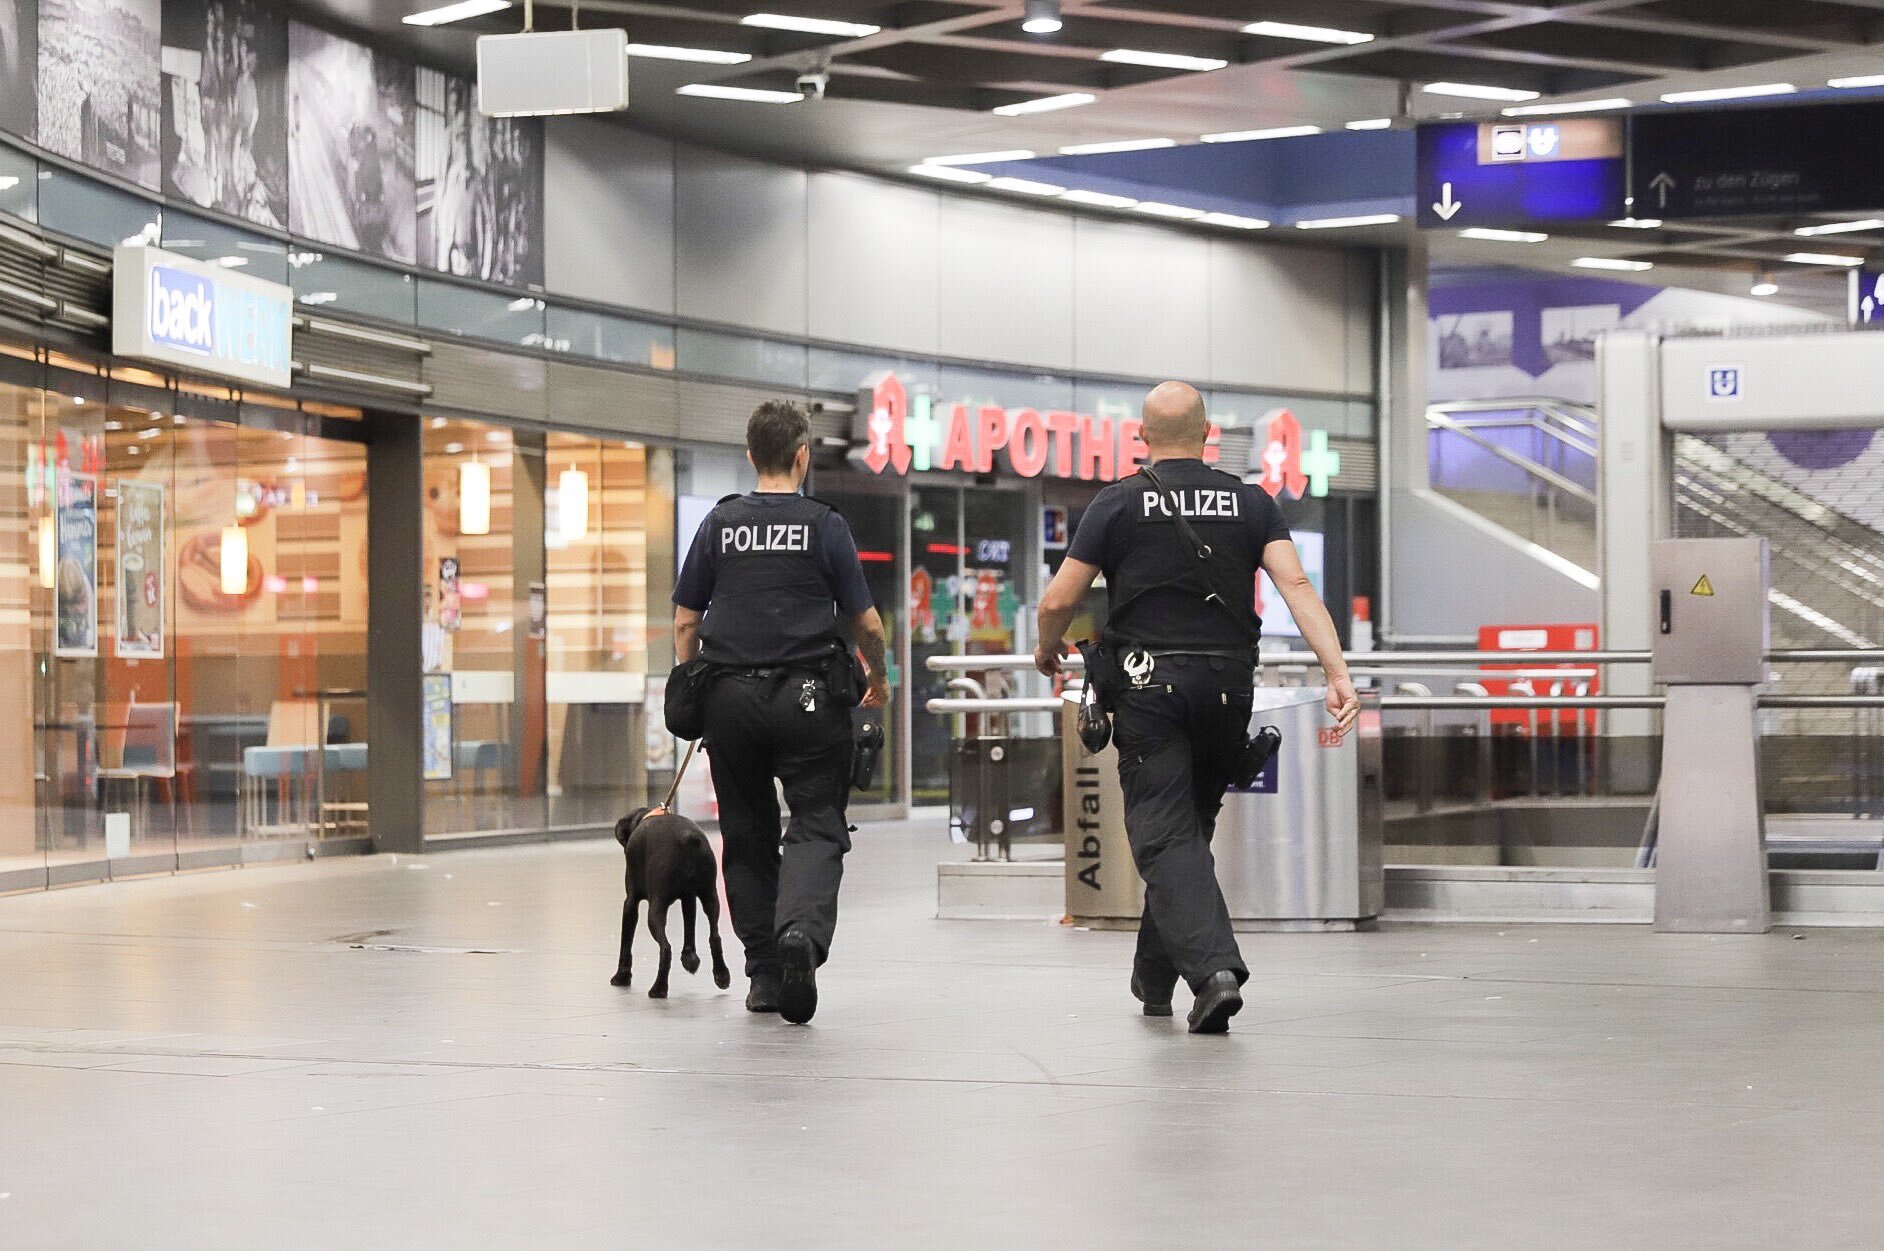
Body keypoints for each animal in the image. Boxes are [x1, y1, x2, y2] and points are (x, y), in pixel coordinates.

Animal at [617, 810, 734, 994]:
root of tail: (687, 839)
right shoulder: (689, 898)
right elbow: (689, 926)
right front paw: (690, 958)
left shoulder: (630, 901)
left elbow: (626, 942)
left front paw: (621, 976)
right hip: (710, 896)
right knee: (714, 936)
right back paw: (721, 974)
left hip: (656, 908)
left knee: (665, 948)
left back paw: (658, 988)